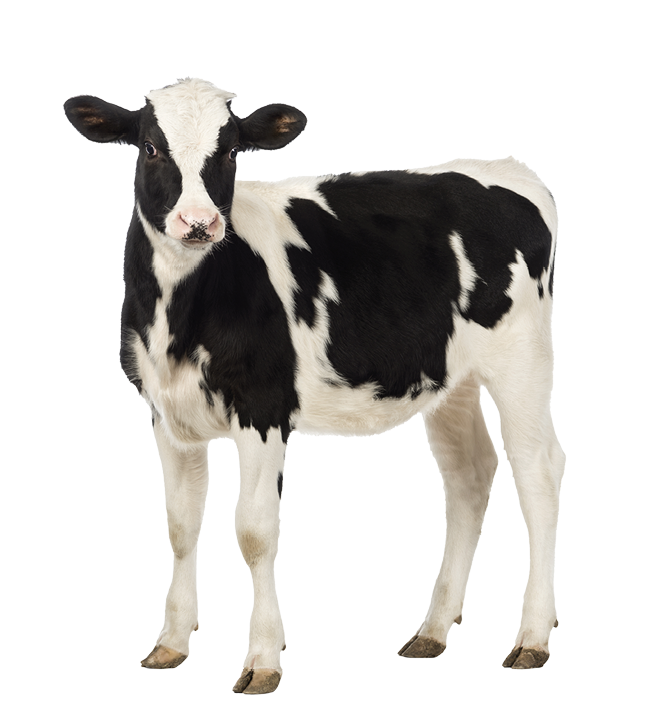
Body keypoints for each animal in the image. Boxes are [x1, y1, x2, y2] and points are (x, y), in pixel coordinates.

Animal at [64, 77, 565, 694]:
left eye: (231, 150)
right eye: (151, 148)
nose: (199, 222)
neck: (178, 314)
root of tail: (510, 169)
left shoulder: (263, 407)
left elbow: (254, 531)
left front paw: (262, 658)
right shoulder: (164, 410)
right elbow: (181, 525)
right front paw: (171, 642)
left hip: (523, 356)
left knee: (538, 471)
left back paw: (533, 636)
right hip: (452, 377)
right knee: (469, 475)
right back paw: (432, 629)